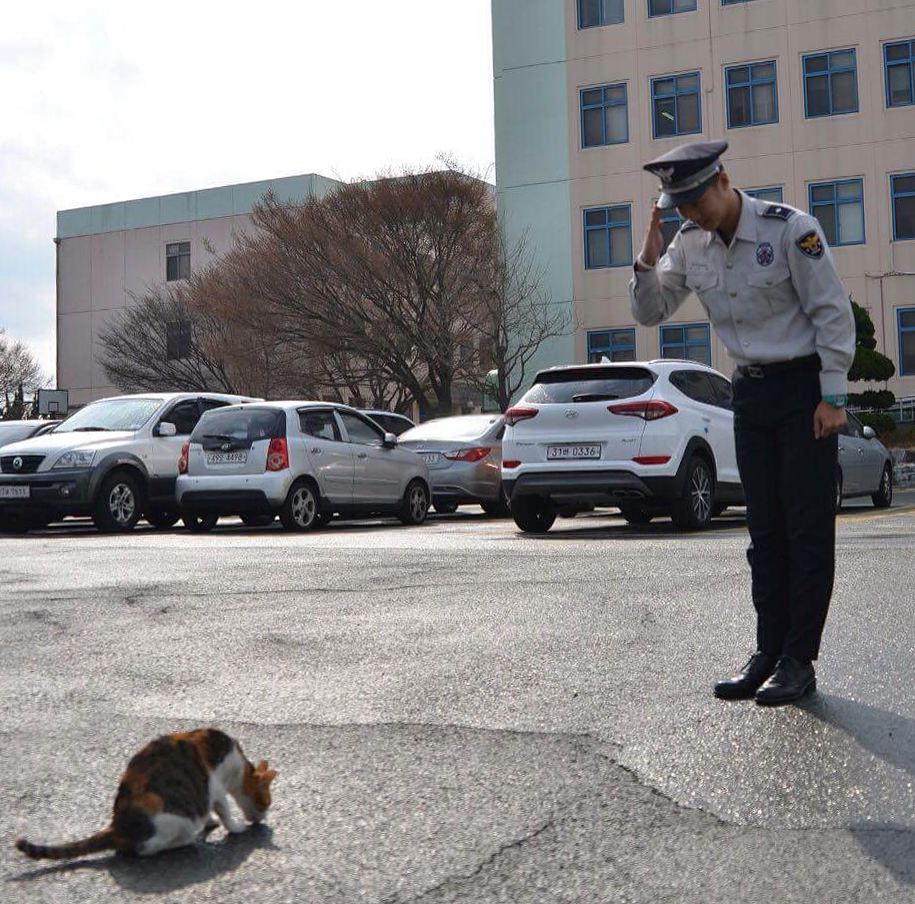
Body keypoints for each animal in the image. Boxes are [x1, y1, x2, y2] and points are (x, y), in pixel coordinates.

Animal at [15, 724, 276, 860]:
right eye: (266, 802)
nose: (263, 819)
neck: (238, 767)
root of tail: (116, 826)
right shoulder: (216, 786)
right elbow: (224, 810)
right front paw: (236, 827)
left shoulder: (211, 792)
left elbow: (212, 809)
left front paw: (211, 820)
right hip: (173, 819)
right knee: (147, 849)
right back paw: (186, 840)